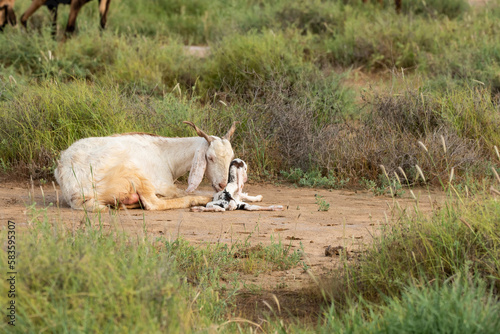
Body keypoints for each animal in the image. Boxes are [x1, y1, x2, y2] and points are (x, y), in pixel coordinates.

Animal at [53, 120, 237, 211]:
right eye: (210, 157)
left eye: (231, 157)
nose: (222, 184)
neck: (166, 155)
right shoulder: (164, 184)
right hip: (135, 175)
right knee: (153, 204)